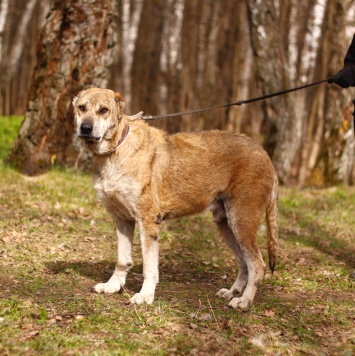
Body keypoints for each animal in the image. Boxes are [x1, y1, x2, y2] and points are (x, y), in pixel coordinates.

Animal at [71, 87, 278, 308]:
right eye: (81, 108)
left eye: (104, 110)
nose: (85, 128)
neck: (116, 149)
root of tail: (265, 155)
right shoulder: (122, 220)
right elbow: (122, 259)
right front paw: (113, 286)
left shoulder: (147, 222)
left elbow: (149, 268)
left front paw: (145, 296)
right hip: (226, 225)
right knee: (244, 263)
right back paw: (232, 293)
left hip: (242, 222)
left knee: (257, 265)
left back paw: (244, 301)